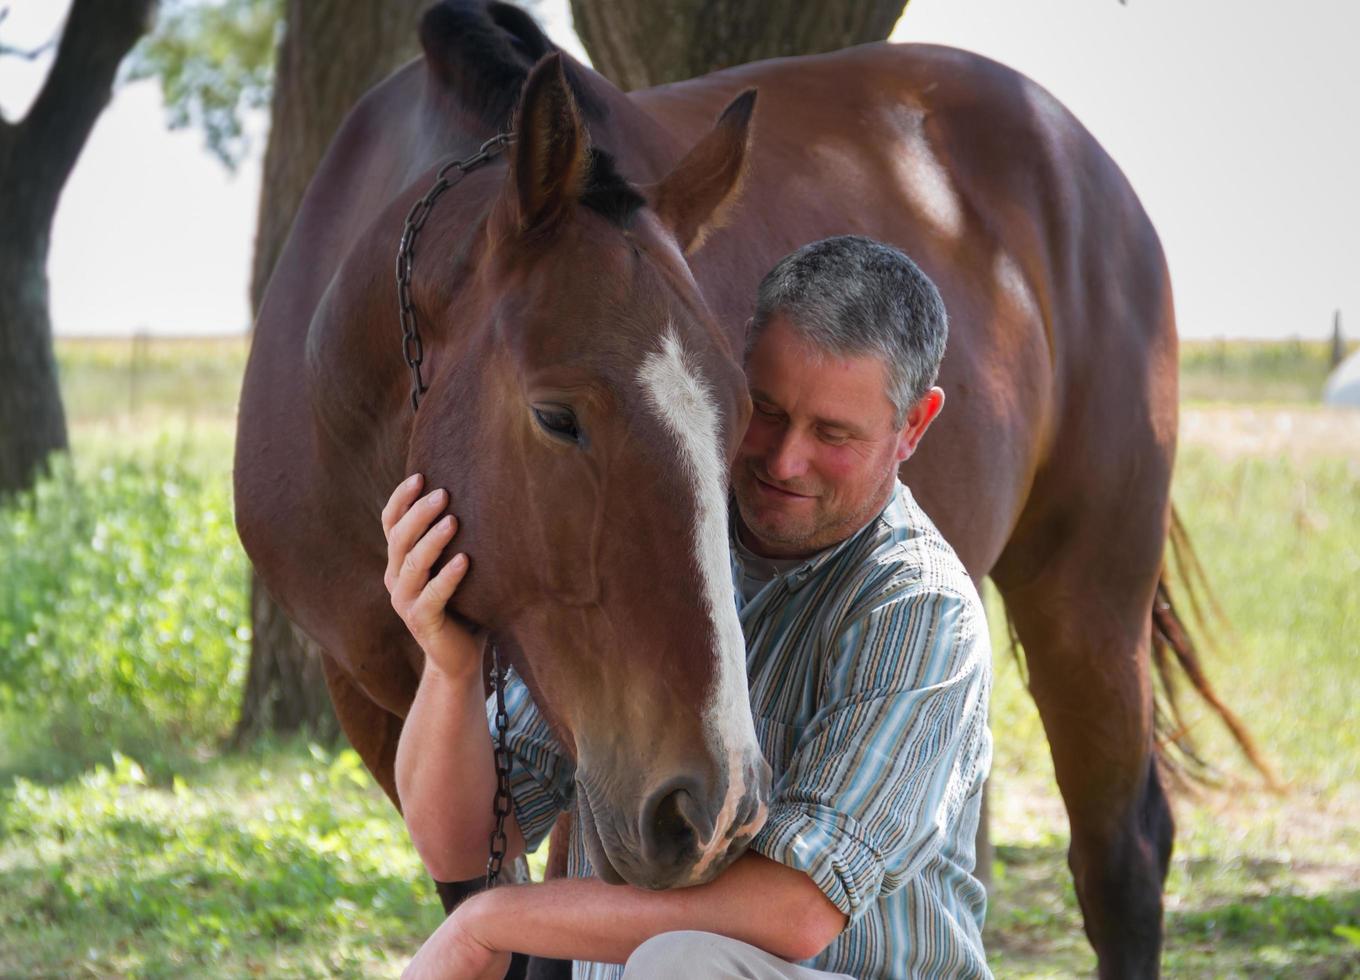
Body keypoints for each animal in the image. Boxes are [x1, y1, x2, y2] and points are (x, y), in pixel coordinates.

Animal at [236, 3, 1262, 973]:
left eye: (740, 412)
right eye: (558, 417)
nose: (716, 805)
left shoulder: (594, 768)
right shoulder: (381, 704)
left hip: (1088, 597)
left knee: (1122, 857)